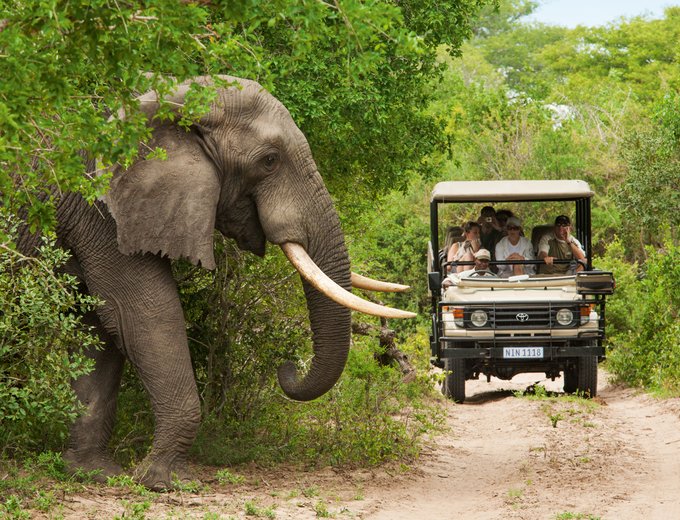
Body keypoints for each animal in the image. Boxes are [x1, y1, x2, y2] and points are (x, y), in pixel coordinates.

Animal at [15, 75, 412, 490]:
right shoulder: (98, 206)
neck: (173, 96)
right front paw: (161, 481)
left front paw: (93, 472)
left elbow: (103, 324)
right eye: (269, 161)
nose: (287, 368)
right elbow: (144, 313)